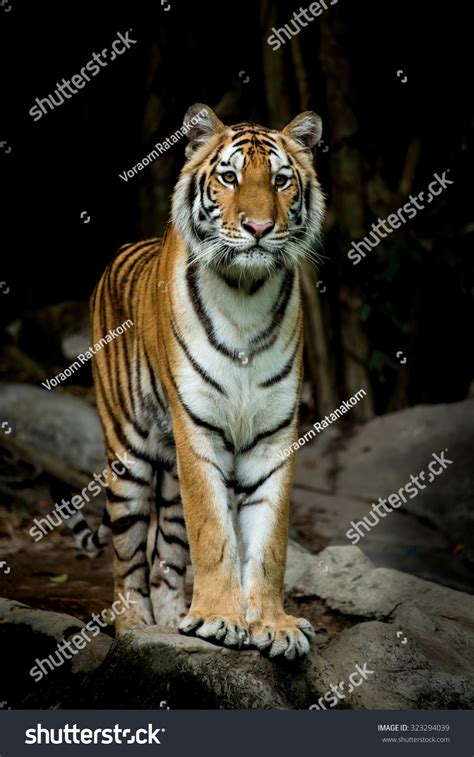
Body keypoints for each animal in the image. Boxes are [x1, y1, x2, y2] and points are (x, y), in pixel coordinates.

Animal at [75, 103, 326, 660]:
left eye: (280, 180)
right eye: (229, 177)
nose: (258, 226)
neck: (247, 292)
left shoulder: (274, 434)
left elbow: (270, 540)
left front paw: (271, 624)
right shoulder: (197, 429)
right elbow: (213, 532)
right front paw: (219, 618)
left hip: (168, 483)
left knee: (166, 560)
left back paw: (174, 627)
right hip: (128, 461)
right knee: (128, 563)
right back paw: (135, 629)